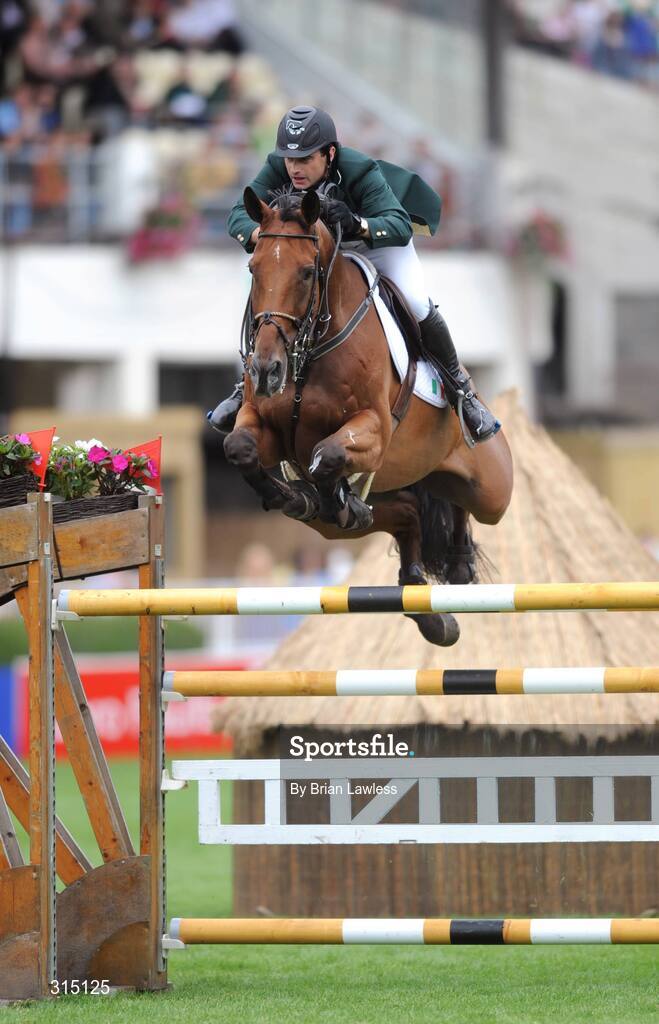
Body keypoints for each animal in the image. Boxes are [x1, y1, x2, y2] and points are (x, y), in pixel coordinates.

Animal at [224, 187, 514, 646]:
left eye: (307, 272)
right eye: (253, 269)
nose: (266, 370)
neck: (309, 352)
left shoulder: (374, 431)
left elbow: (327, 455)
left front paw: (329, 496)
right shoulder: (267, 427)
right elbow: (239, 447)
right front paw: (293, 497)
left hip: (492, 490)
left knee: (465, 500)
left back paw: (459, 559)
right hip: (376, 506)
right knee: (408, 513)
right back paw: (430, 611)